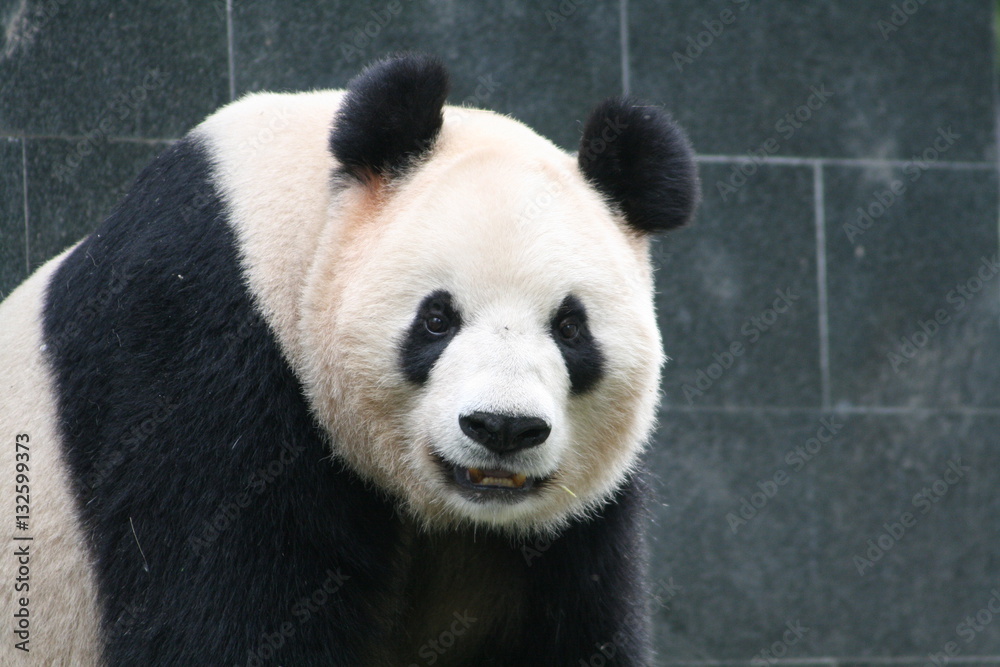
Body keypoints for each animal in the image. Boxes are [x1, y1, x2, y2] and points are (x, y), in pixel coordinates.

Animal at [0, 54, 698, 666]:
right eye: (437, 319)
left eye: (570, 328)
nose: (502, 428)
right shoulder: (192, 348)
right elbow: (221, 614)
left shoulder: (565, 534)